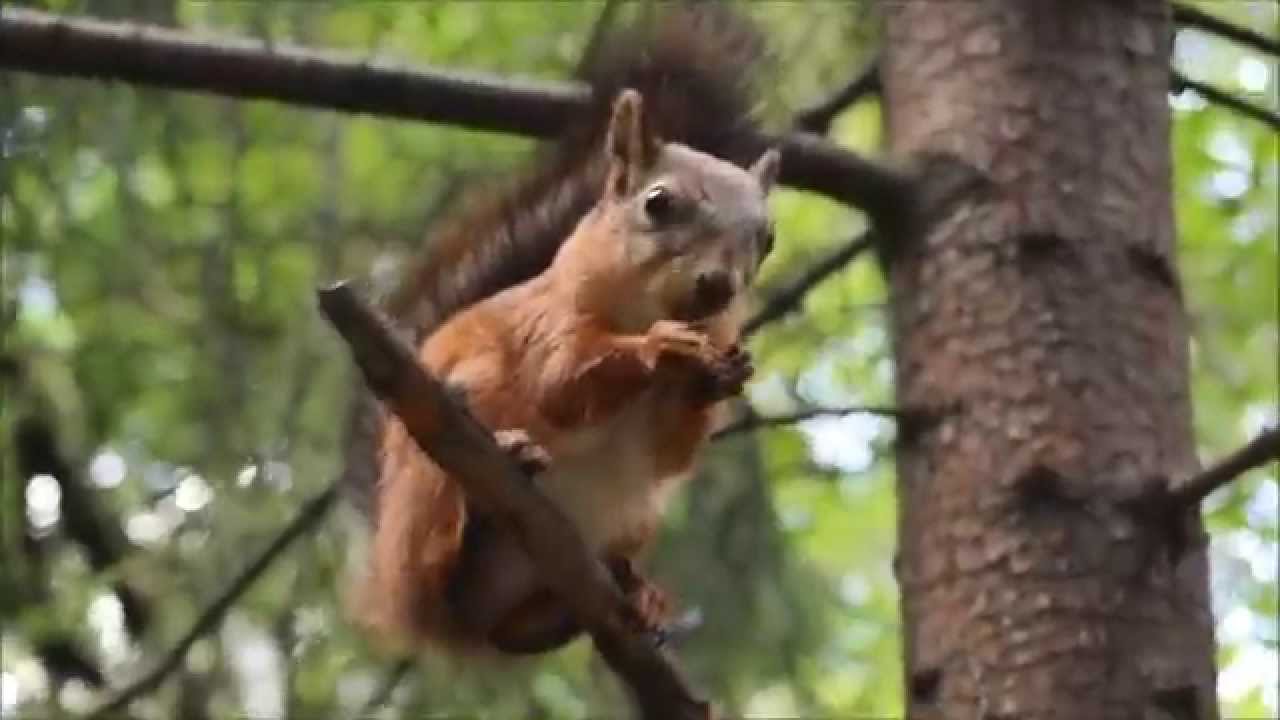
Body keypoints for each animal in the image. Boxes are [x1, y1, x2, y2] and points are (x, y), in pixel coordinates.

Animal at [343, 4, 778, 655]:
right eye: (657, 203)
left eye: (767, 238)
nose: (718, 287)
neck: (641, 308)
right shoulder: (547, 321)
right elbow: (562, 383)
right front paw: (661, 347)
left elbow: (670, 450)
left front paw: (716, 378)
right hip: (435, 461)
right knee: (439, 556)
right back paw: (496, 473)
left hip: (632, 522)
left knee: (520, 626)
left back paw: (632, 593)